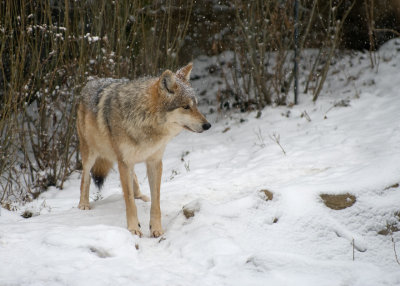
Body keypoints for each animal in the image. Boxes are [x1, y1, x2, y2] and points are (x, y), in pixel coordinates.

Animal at [76, 63, 211, 238]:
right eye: (186, 107)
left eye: (196, 105)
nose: (208, 125)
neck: (145, 120)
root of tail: (91, 81)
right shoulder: (125, 162)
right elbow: (129, 202)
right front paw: (134, 229)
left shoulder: (154, 162)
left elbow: (156, 202)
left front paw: (156, 229)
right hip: (91, 154)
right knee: (85, 178)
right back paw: (83, 204)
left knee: (133, 180)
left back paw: (140, 196)